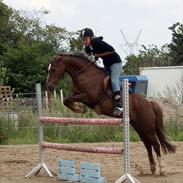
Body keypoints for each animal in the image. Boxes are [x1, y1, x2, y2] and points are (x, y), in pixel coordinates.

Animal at [46, 52, 175, 176]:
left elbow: (68, 99)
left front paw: (80, 109)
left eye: (53, 69)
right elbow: (66, 100)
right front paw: (80, 109)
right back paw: (152, 168)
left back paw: (162, 170)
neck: (84, 74)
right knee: (148, 145)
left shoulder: (89, 97)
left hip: (147, 128)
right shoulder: (78, 95)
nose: (49, 86)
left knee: (156, 145)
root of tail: (150, 104)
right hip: (139, 128)